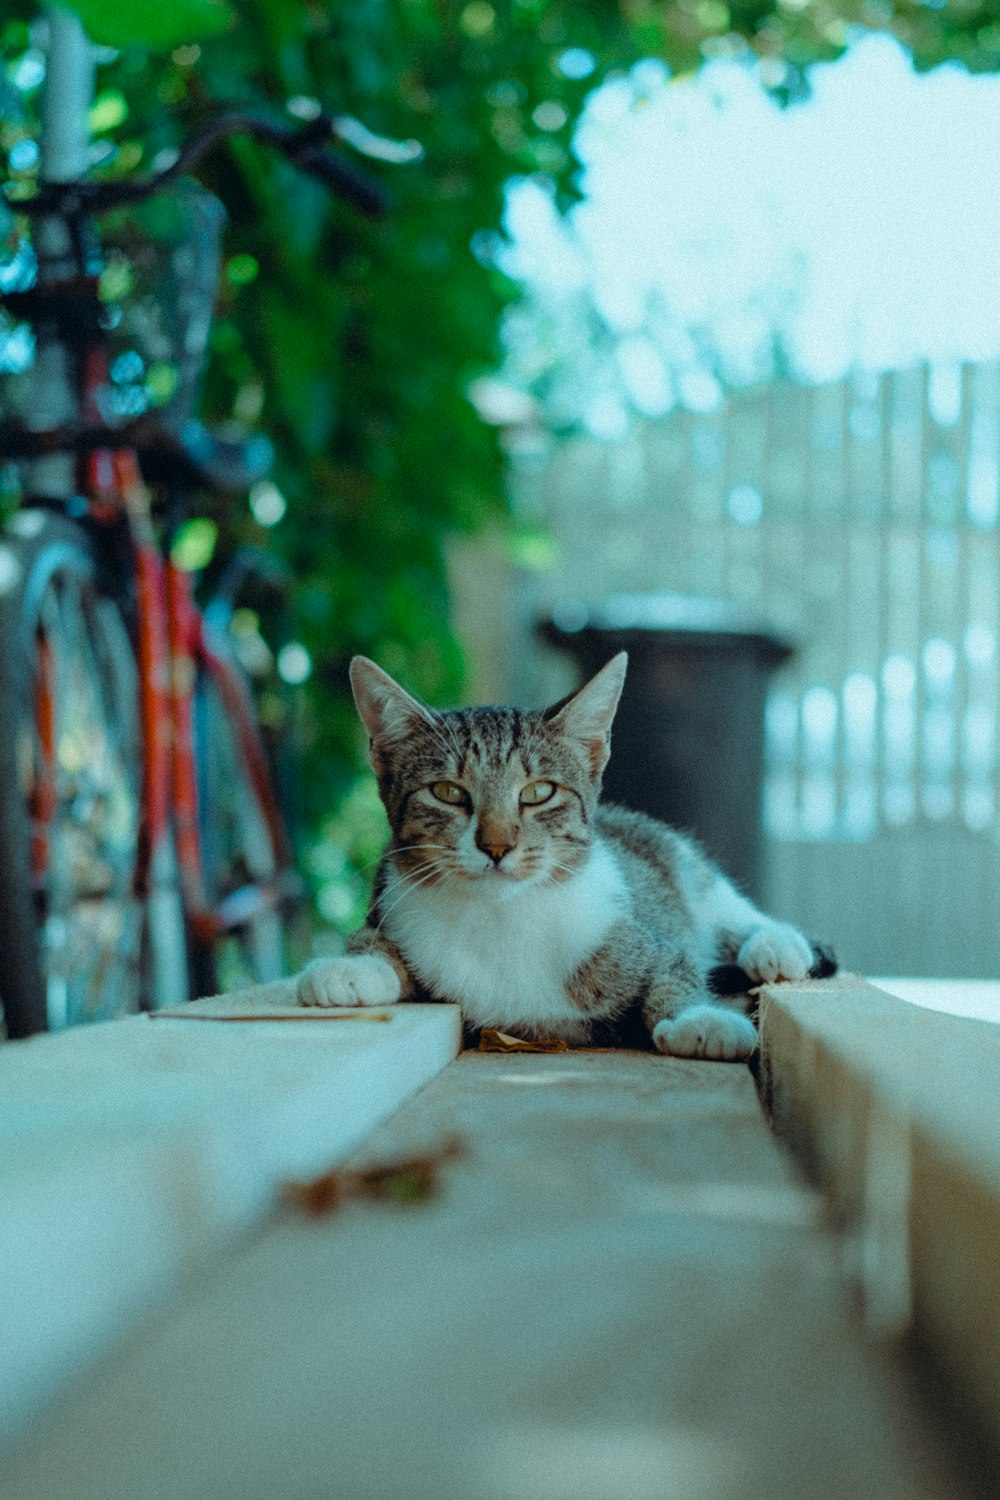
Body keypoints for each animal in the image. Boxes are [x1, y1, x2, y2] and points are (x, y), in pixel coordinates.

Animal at [295, 651, 827, 1062]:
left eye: (538, 792)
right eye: (447, 792)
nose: (496, 845)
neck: (502, 917)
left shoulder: (642, 942)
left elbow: (674, 973)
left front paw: (702, 1018)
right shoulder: (393, 902)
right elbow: (380, 945)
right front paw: (352, 967)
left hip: (676, 858)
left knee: (723, 906)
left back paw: (775, 945)